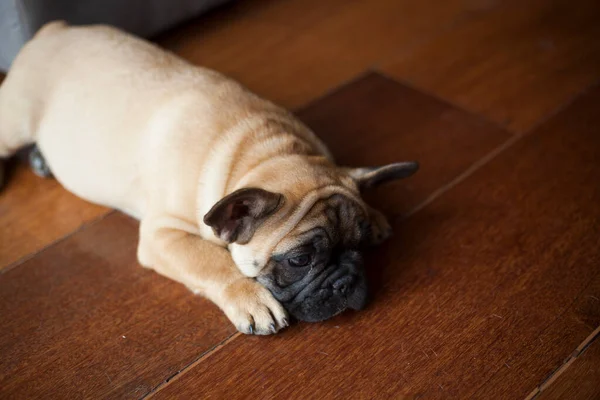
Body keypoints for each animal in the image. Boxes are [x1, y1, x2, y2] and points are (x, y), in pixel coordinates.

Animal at [0, 21, 418, 334]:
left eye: (360, 246)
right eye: (299, 260)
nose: (346, 283)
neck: (263, 151)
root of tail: (52, 30)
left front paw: (376, 214)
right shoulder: (163, 235)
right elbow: (212, 262)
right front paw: (250, 298)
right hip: (15, 120)